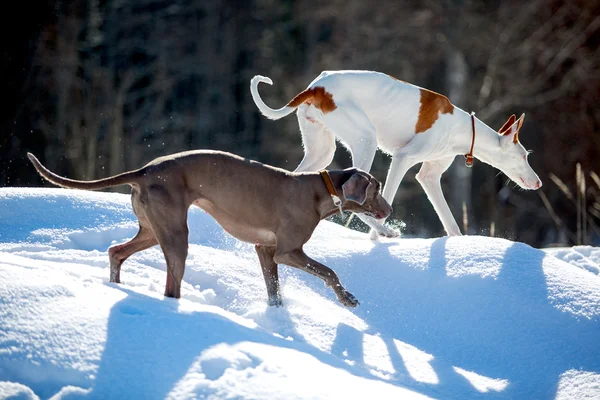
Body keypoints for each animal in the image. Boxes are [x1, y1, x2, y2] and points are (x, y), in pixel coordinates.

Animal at [28, 150, 394, 306]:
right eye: (376, 188)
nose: (390, 210)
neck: (321, 189)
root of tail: (145, 170)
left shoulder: (266, 250)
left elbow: (273, 291)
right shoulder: (288, 251)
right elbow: (329, 271)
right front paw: (347, 298)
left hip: (153, 229)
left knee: (116, 251)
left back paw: (117, 287)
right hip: (176, 235)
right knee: (170, 286)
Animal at [251, 69, 540, 238]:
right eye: (525, 156)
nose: (538, 183)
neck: (463, 130)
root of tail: (317, 86)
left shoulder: (429, 177)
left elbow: (451, 224)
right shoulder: (402, 159)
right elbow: (386, 200)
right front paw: (374, 240)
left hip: (321, 151)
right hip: (365, 140)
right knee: (353, 200)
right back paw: (384, 231)